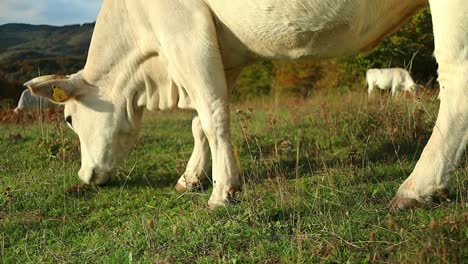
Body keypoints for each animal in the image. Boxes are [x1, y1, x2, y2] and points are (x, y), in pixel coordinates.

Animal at [24, 0, 468, 210]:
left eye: (68, 118)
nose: (84, 176)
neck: (153, 70)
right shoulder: (224, 52)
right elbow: (200, 122)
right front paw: (190, 178)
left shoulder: (185, 31)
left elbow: (212, 114)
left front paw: (222, 191)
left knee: (457, 79)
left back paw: (416, 188)